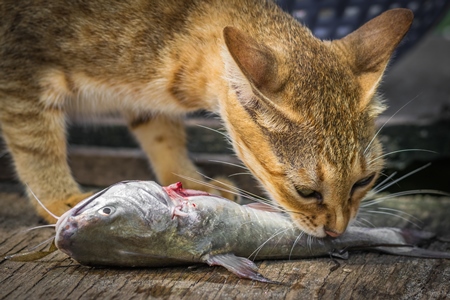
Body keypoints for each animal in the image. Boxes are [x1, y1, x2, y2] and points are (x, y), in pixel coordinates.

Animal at [0, 1, 414, 238]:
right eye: (306, 192)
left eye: (364, 181)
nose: (338, 232)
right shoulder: (20, 77)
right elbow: (37, 147)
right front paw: (62, 198)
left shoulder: (146, 102)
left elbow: (163, 138)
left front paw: (190, 184)